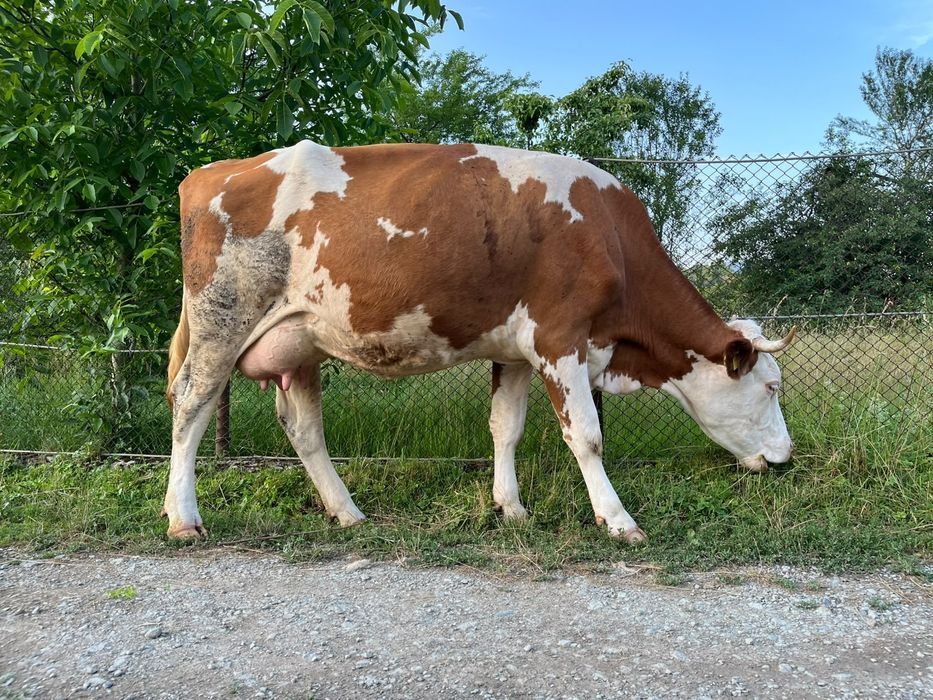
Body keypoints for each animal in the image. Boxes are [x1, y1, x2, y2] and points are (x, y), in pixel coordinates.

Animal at [164, 140, 796, 543]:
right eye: (770, 388)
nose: (785, 460)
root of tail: (211, 172)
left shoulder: (514, 350)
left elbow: (505, 428)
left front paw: (511, 507)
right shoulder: (559, 338)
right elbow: (587, 437)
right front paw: (618, 520)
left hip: (300, 342)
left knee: (303, 428)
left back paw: (348, 513)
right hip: (222, 321)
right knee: (192, 405)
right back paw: (183, 518)